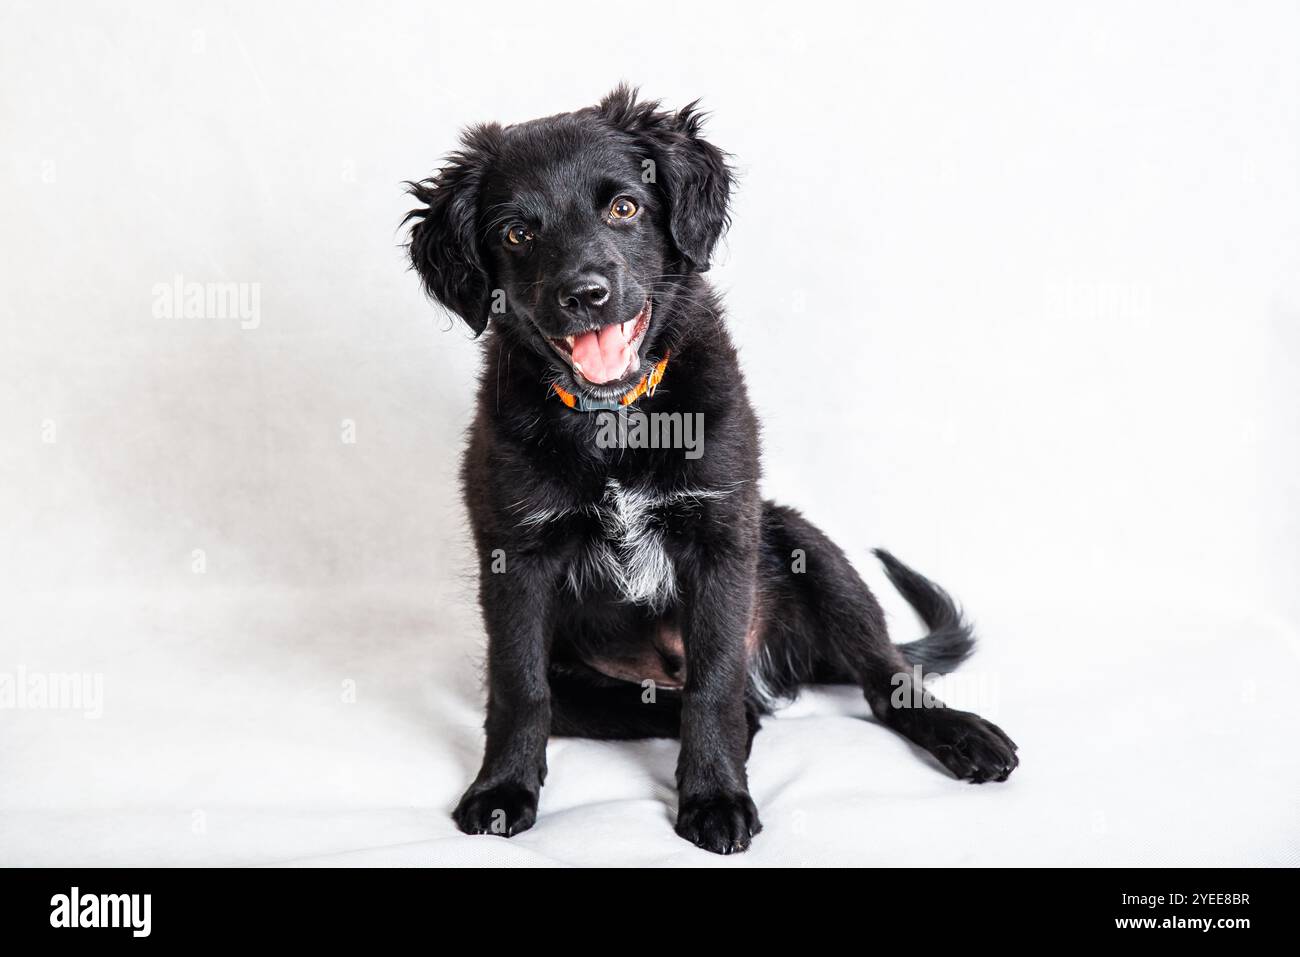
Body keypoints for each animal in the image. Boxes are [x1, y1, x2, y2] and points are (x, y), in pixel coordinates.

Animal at [405, 87, 1013, 852]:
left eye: (624, 207)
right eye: (516, 233)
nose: (585, 294)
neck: (616, 417)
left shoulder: (723, 536)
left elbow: (714, 680)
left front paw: (715, 796)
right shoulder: (515, 554)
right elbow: (519, 686)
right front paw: (503, 789)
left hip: (803, 543)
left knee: (879, 678)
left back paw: (960, 732)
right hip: (588, 687)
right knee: (704, 705)